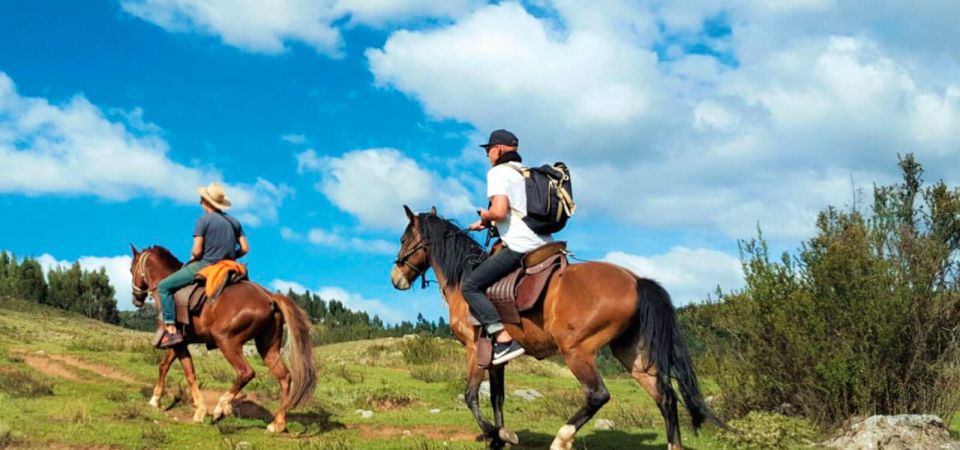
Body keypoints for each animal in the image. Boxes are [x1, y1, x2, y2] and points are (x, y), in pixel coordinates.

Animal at [126, 246, 316, 432]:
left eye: (130, 269)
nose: (135, 299)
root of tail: (269, 297)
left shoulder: (179, 343)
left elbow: (189, 373)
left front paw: (200, 410)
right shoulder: (179, 342)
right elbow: (164, 366)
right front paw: (155, 399)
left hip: (226, 342)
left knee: (246, 373)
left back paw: (220, 408)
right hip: (267, 347)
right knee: (285, 377)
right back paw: (278, 423)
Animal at [390, 208, 720, 450]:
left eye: (405, 238)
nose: (395, 278)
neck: (464, 279)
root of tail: (635, 280)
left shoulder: (475, 351)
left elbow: (471, 396)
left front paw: (498, 435)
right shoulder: (496, 357)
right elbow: (497, 397)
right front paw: (501, 436)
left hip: (577, 351)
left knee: (598, 395)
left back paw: (562, 439)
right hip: (632, 354)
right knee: (665, 397)